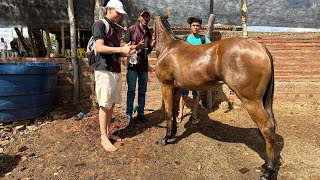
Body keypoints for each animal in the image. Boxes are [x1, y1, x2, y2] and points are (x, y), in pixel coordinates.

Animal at [151, 11, 278, 180]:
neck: (168, 49)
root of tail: (260, 47)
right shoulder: (176, 88)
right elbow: (173, 111)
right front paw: (172, 134)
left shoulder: (166, 86)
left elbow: (167, 112)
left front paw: (166, 138)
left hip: (252, 101)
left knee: (267, 127)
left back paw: (268, 171)